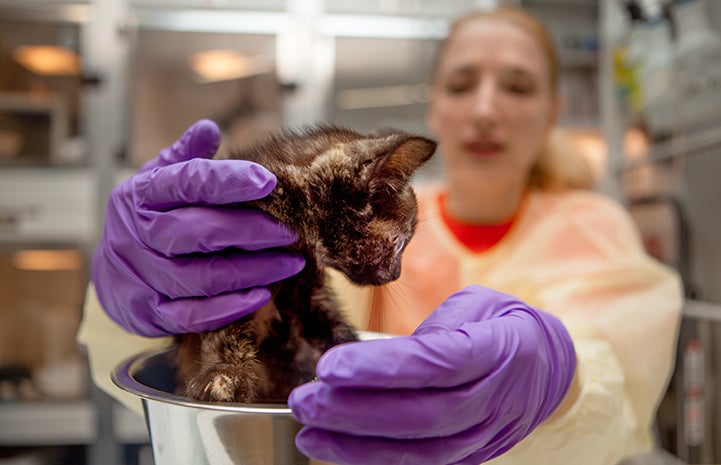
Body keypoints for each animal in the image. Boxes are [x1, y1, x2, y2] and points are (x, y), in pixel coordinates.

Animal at [172, 124, 436, 402]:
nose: (396, 274)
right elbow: (224, 328)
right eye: (399, 243)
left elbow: (333, 329)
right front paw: (223, 375)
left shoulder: (308, 293)